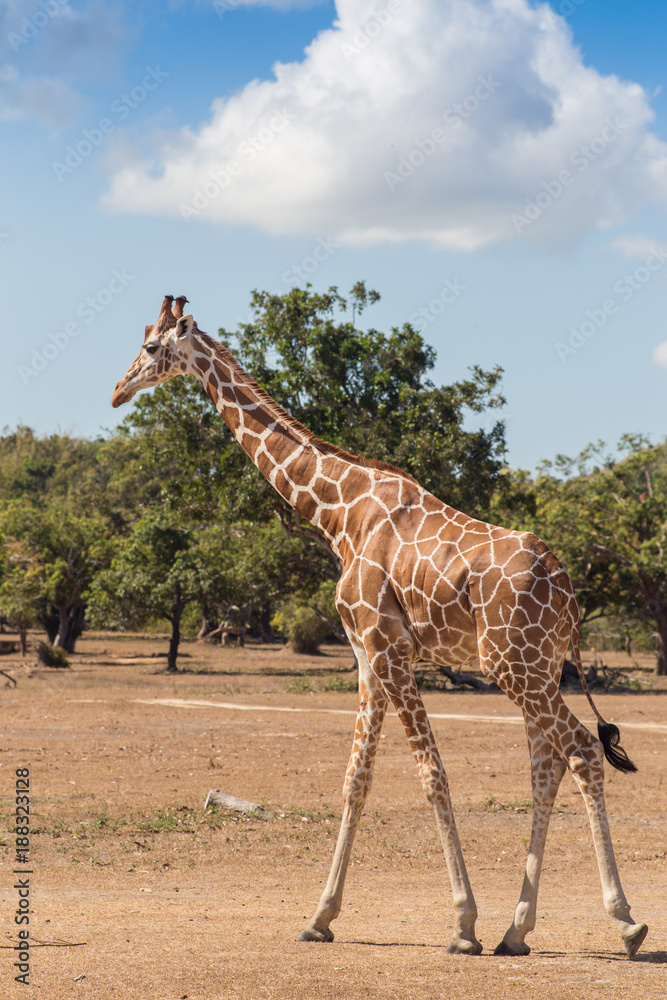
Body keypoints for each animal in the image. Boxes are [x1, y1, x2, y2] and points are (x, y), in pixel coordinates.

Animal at [112, 295, 648, 959]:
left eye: (152, 347)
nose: (118, 390)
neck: (337, 514)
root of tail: (568, 589)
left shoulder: (387, 648)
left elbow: (432, 776)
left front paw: (462, 924)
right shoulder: (368, 656)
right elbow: (356, 779)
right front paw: (320, 917)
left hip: (513, 667)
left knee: (580, 751)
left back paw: (624, 922)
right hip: (538, 668)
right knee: (545, 767)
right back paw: (517, 931)